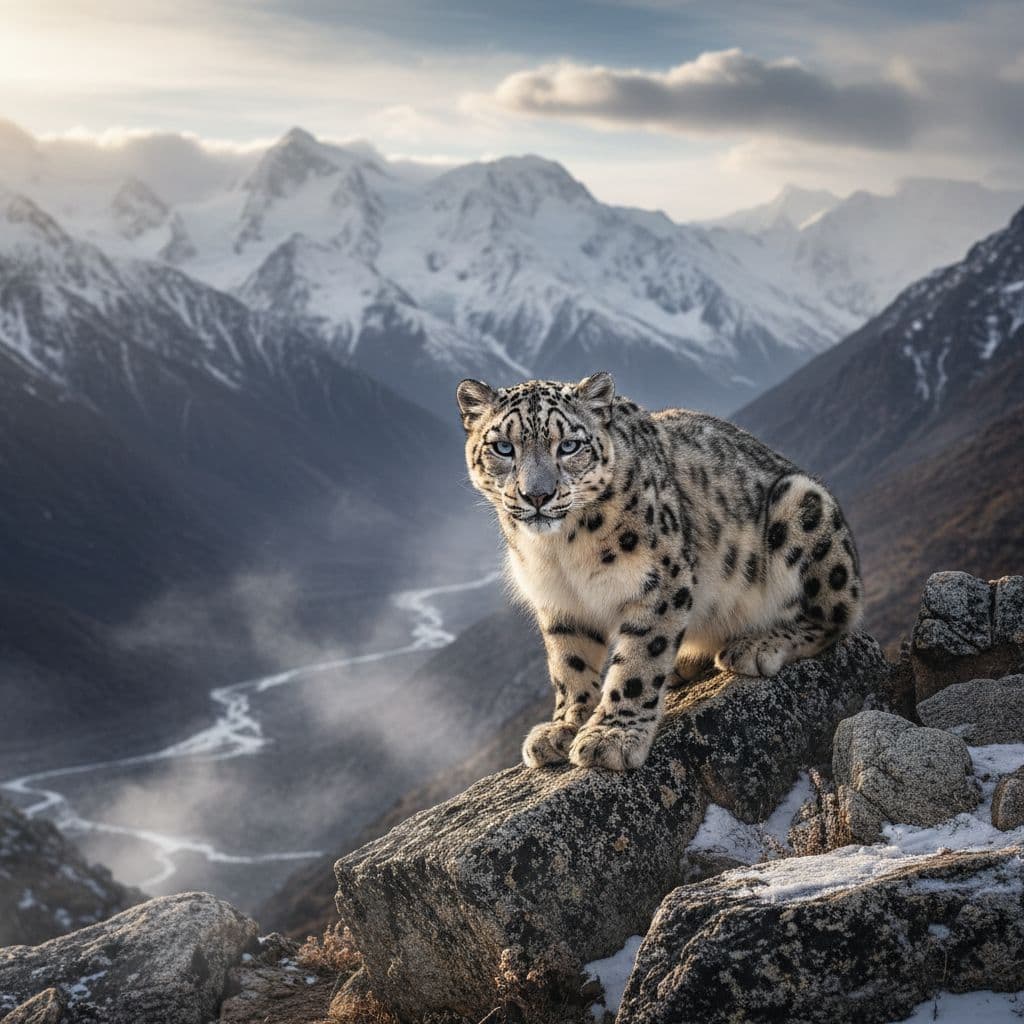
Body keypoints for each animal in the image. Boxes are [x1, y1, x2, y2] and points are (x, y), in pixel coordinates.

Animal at [456, 372, 863, 771]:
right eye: (503, 447)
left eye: (569, 445)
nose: (537, 495)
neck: (559, 551)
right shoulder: (559, 602)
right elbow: (568, 662)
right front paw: (565, 725)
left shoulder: (658, 583)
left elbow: (639, 659)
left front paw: (611, 737)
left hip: (803, 509)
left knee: (835, 618)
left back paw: (757, 645)